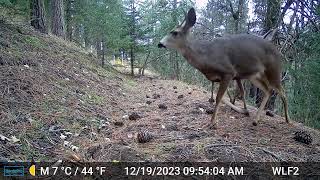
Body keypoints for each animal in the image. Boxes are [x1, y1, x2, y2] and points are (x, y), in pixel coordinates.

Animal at [158, 7, 290, 129]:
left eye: (174, 32)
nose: (159, 43)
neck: (206, 57)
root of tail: (278, 52)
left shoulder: (228, 72)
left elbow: (218, 98)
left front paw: (213, 123)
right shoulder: (221, 78)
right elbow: (223, 98)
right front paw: (242, 111)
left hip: (273, 70)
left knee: (282, 92)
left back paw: (287, 120)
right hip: (254, 76)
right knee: (268, 90)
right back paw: (255, 120)